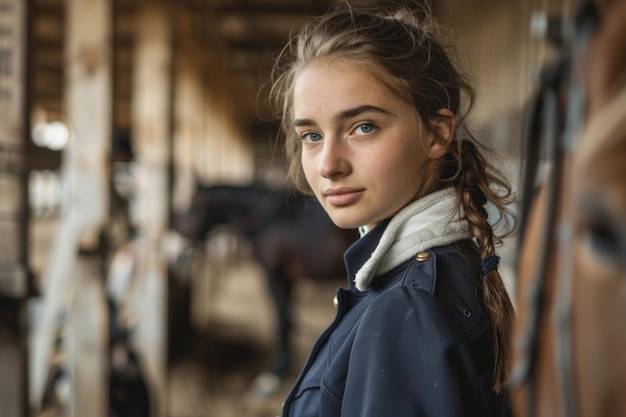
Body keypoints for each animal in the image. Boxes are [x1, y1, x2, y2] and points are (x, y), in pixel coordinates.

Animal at [172, 184, 356, 388]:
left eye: (194, 207)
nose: (177, 256)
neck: (268, 221)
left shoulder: (273, 274)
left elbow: (282, 320)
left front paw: (274, 374)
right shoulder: (288, 279)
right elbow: (288, 319)